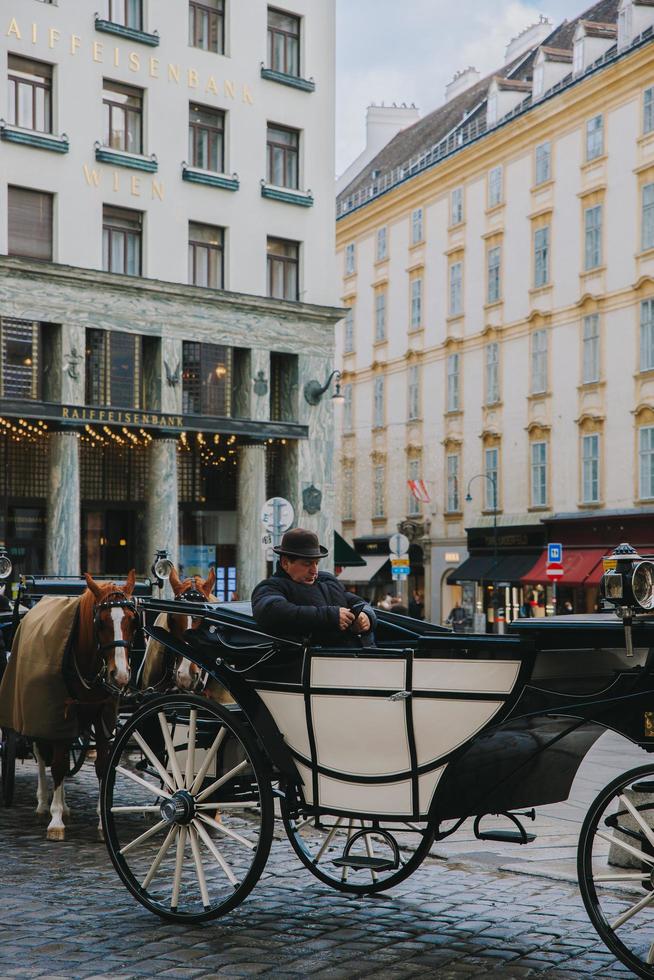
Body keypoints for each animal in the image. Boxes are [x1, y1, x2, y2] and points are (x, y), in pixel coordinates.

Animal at [34, 576, 139, 844]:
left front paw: (103, 822)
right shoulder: (59, 714)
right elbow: (58, 765)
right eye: (100, 622)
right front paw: (55, 821)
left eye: (132, 620)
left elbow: (103, 766)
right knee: (43, 754)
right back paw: (43, 804)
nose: (120, 675)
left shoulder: (104, 716)